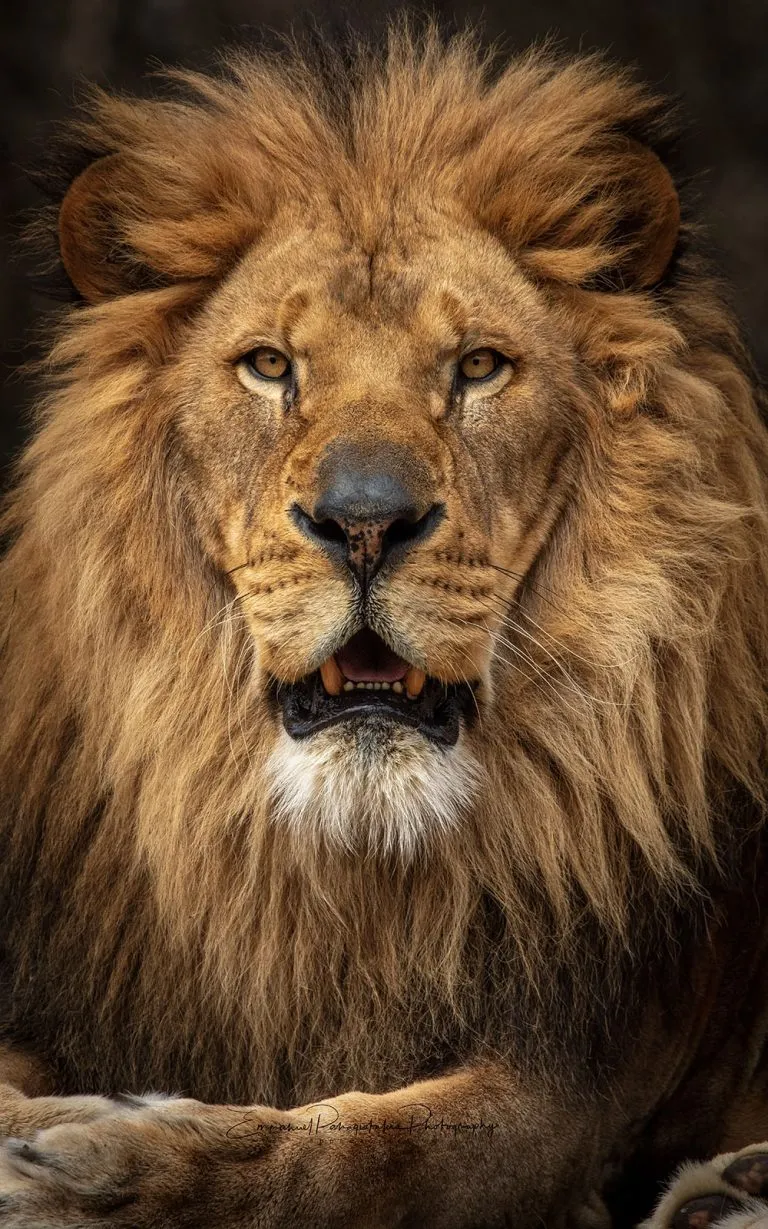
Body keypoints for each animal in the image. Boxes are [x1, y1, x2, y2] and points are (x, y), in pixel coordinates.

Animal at [0, 24, 767, 1229]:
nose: (364, 523)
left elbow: (361, 1152)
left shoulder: (564, 1097)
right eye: (270, 365)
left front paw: (108, 1163)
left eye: (479, 366)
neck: (354, 868)